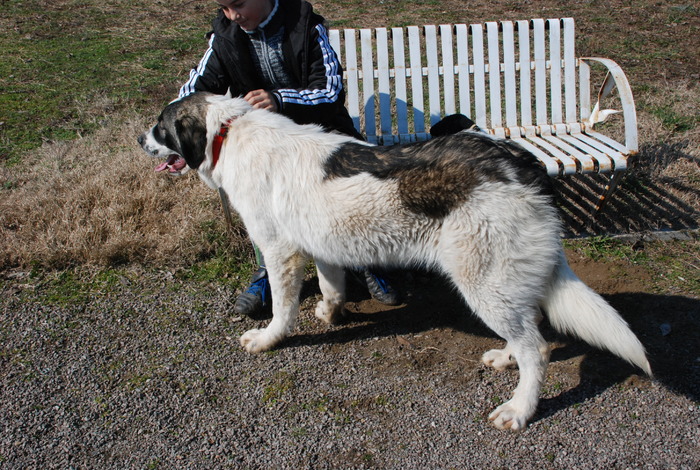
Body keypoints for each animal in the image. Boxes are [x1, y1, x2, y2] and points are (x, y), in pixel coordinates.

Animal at [138, 92, 652, 430]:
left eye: (161, 127)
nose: (140, 141)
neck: (230, 134)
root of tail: (526, 165)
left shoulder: (281, 252)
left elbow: (283, 310)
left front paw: (268, 339)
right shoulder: (324, 246)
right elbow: (332, 286)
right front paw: (330, 313)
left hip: (483, 282)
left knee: (537, 349)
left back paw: (519, 409)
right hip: (500, 286)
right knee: (529, 333)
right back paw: (505, 357)